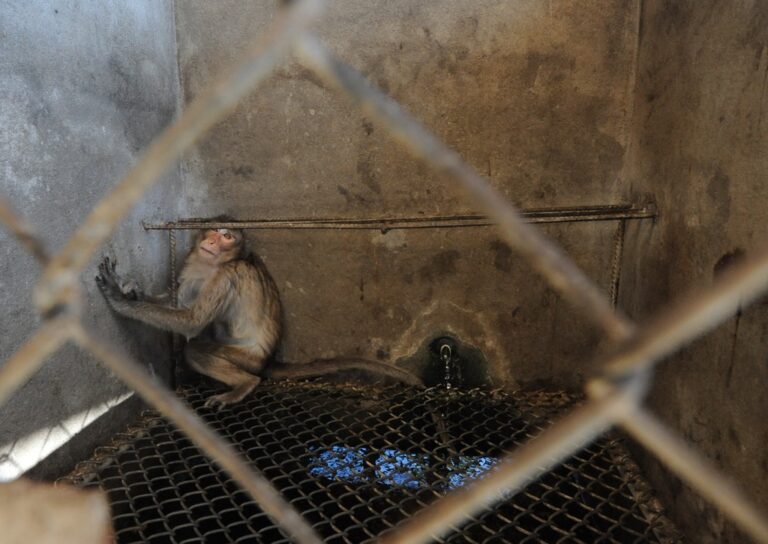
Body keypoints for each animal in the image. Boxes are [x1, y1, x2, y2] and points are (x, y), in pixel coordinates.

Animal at [97, 221, 424, 408]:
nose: (212, 241)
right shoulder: (192, 263)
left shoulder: (227, 276)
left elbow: (191, 322)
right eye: (214, 231)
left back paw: (244, 384)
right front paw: (131, 291)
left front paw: (119, 299)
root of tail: (266, 360)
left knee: (197, 350)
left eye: (227, 236)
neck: (214, 264)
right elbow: (179, 301)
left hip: (246, 357)